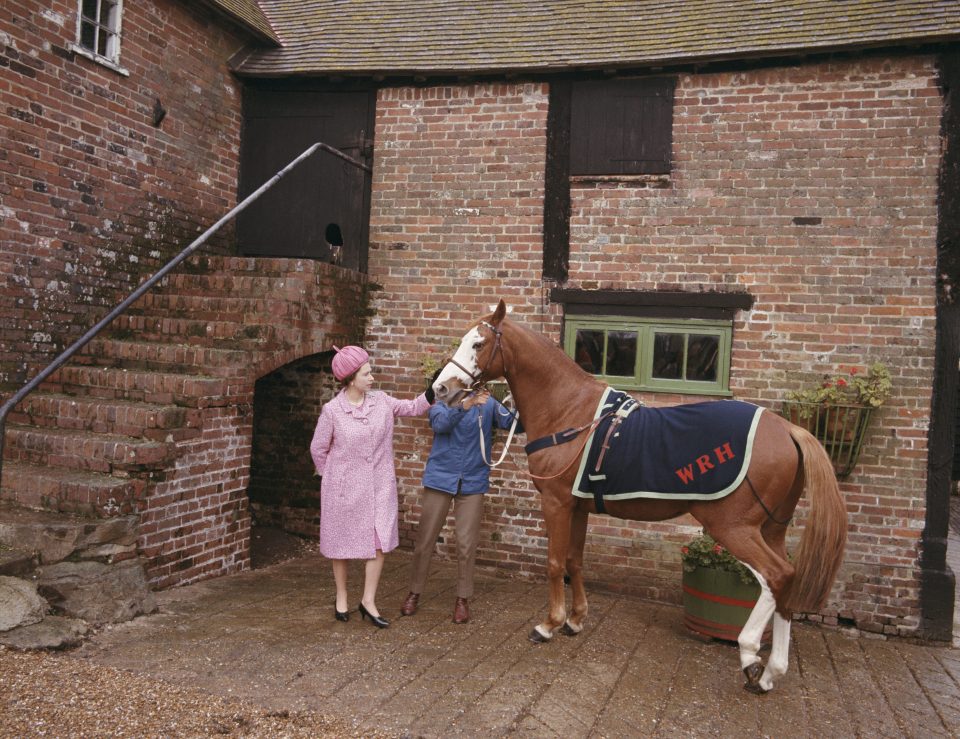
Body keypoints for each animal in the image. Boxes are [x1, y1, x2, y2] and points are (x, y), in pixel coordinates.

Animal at [436, 300, 848, 692]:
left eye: (478, 343)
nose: (440, 389)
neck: (568, 411)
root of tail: (789, 428)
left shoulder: (556, 502)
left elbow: (554, 563)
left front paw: (549, 624)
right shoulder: (579, 506)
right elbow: (574, 561)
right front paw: (576, 620)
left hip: (733, 526)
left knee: (775, 576)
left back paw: (749, 656)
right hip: (772, 528)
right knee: (787, 579)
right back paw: (770, 672)